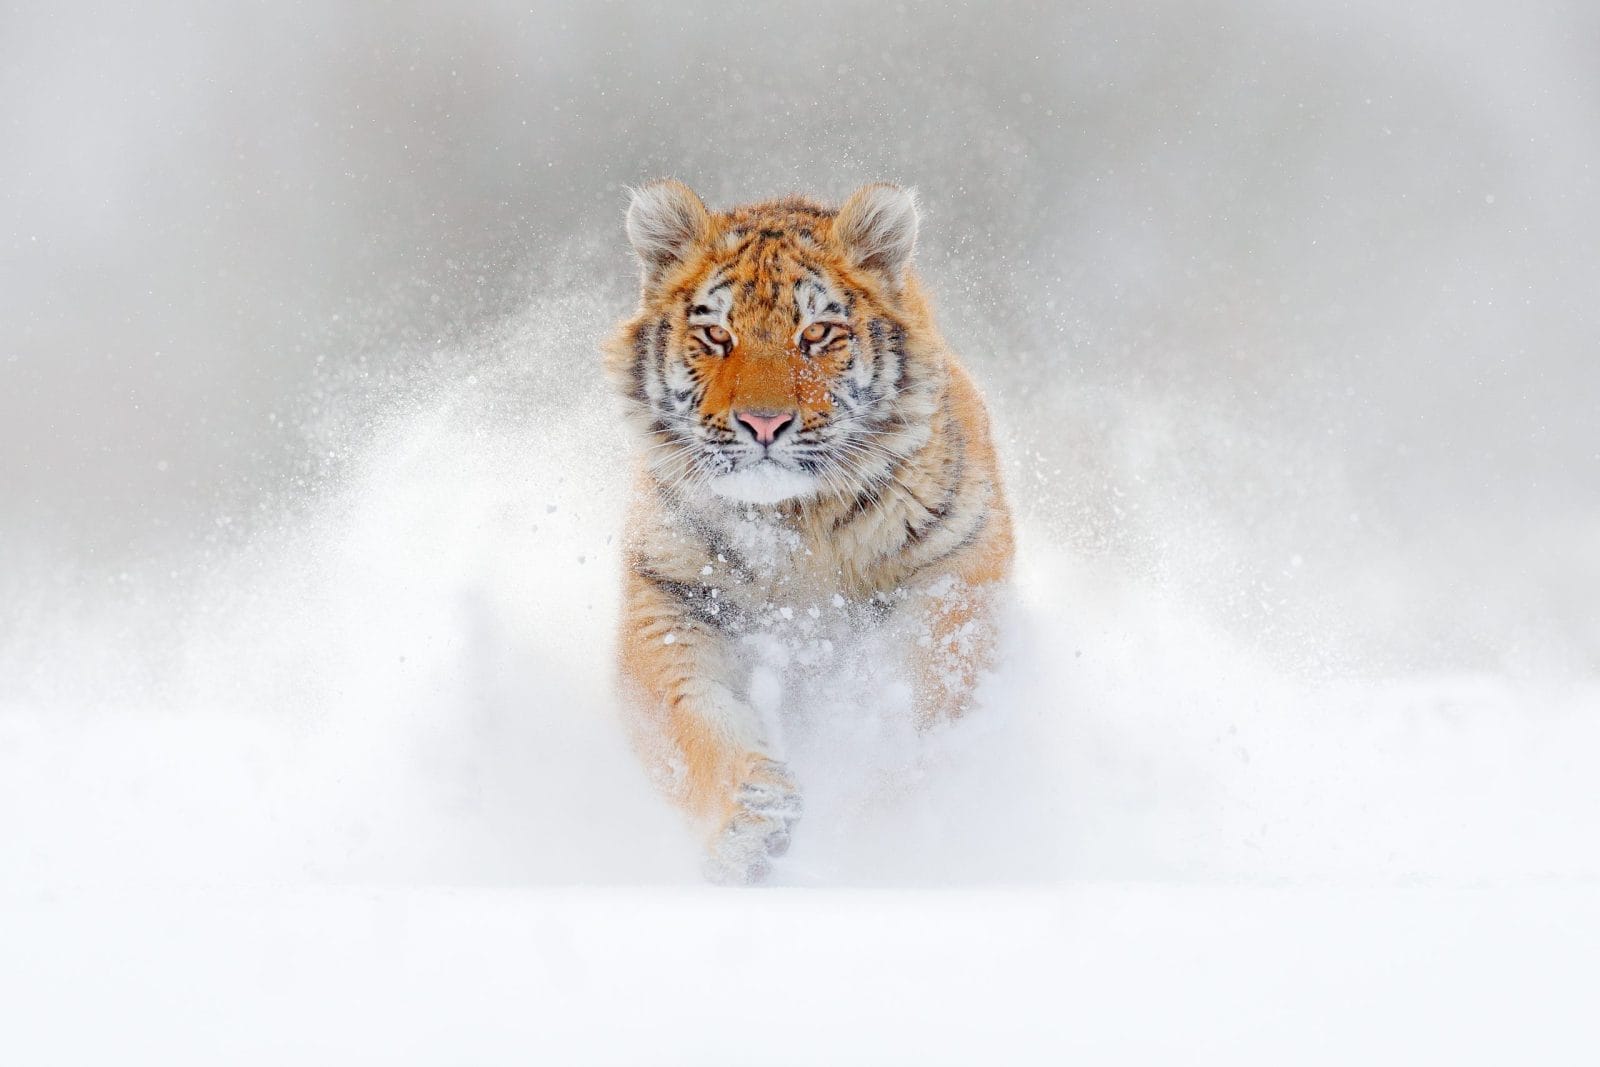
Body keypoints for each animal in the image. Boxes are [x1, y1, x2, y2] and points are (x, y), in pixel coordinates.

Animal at [602, 180, 1014, 884]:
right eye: (716, 334)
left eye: (817, 332)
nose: (764, 423)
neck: (796, 524)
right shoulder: (669, 596)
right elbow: (690, 718)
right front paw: (750, 823)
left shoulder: (959, 567)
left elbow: (920, 695)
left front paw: (873, 792)